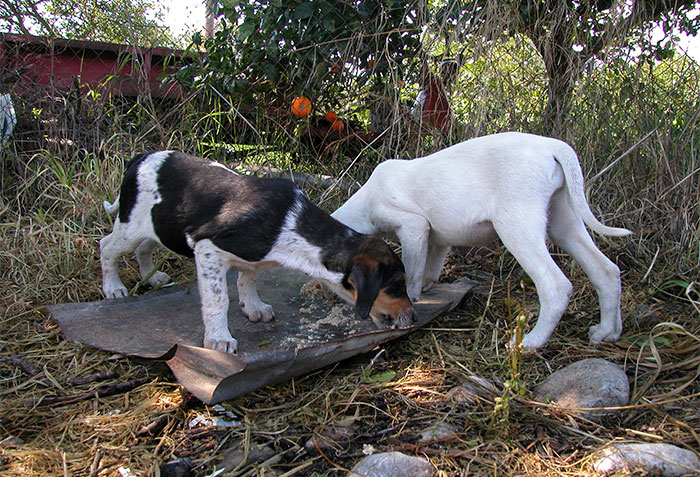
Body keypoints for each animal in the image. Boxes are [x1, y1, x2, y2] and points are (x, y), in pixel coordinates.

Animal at [100, 151, 416, 352]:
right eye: (395, 285)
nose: (413, 319)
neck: (291, 226)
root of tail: (140, 157)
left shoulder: (253, 259)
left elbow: (248, 279)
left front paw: (253, 307)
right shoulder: (208, 250)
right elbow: (218, 301)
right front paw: (218, 339)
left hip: (159, 225)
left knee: (144, 248)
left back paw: (151, 278)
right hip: (130, 227)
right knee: (106, 247)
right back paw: (113, 287)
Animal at [330, 132, 632, 348]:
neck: (367, 199)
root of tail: (550, 146)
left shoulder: (413, 227)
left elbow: (412, 270)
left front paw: (413, 298)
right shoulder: (437, 239)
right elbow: (430, 267)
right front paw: (427, 287)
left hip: (517, 226)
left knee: (555, 286)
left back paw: (529, 343)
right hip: (563, 220)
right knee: (606, 271)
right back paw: (607, 332)